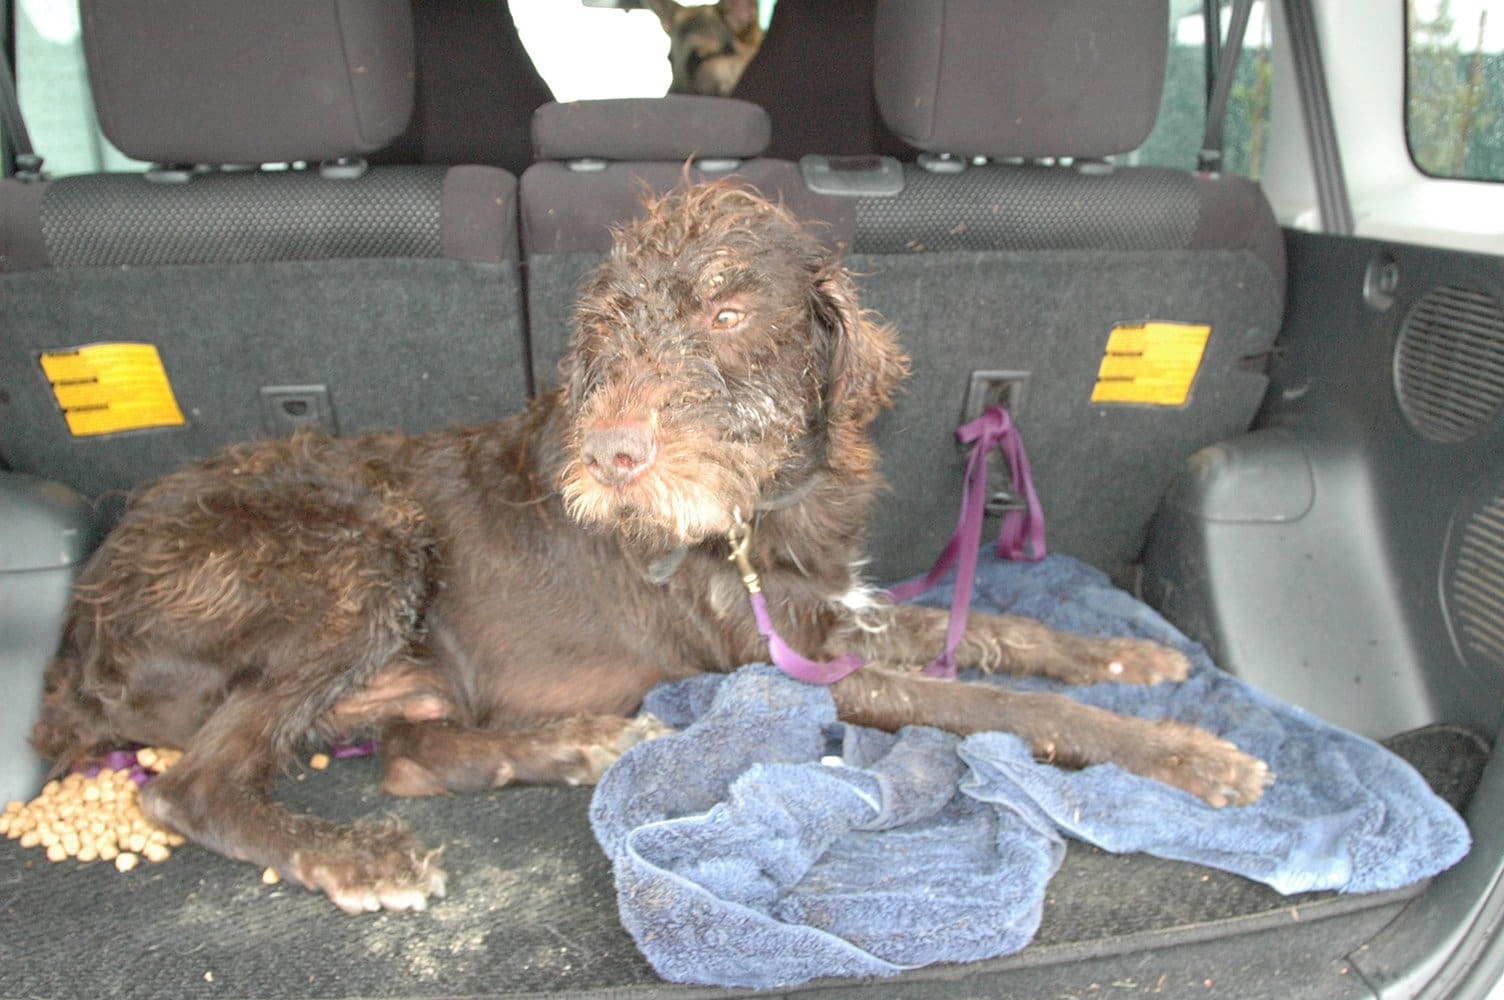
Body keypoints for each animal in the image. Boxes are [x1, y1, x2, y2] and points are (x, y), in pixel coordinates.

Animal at [35, 181, 1269, 914]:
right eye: (601, 330)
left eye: (726, 314)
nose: (611, 455)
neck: (765, 503)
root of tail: (75, 647)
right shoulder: (801, 667)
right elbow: (1006, 705)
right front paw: (1188, 756)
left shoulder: (836, 615)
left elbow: (1009, 633)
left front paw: (1136, 662)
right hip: (360, 556)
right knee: (189, 788)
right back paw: (357, 855)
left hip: (404, 663)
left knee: (416, 755)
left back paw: (582, 744)